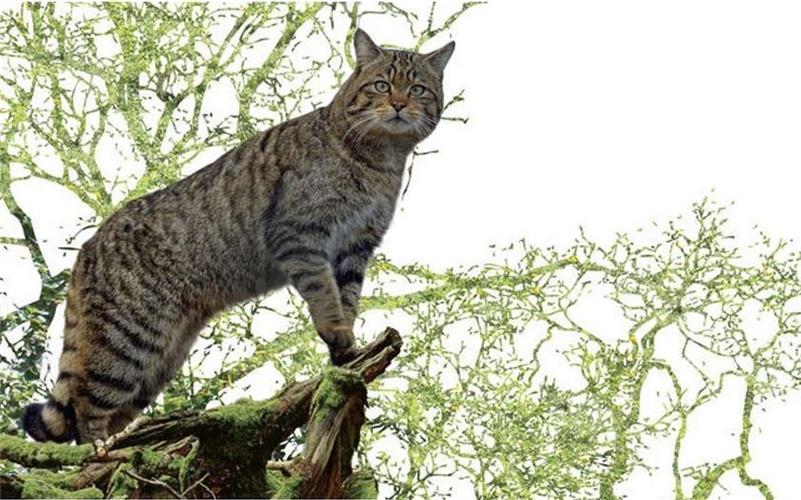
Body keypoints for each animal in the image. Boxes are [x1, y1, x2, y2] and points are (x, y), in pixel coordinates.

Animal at [18, 29, 454, 446]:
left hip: (160, 359)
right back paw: (102, 452)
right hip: (127, 342)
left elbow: (347, 299)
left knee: (108, 408)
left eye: (418, 89)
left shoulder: (355, 249)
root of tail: (87, 248)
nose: (399, 104)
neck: (379, 160)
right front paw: (337, 332)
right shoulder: (301, 236)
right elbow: (326, 295)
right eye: (382, 85)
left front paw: (346, 353)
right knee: (86, 407)